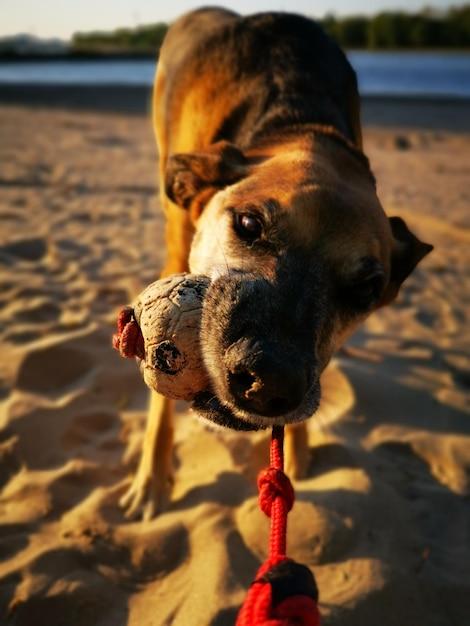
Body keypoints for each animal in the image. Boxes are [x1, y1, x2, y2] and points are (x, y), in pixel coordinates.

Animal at [119, 8, 432, 516]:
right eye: (248, 224)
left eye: (366, 289)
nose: (269, 385)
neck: (299, 124)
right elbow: (159, 404)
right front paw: (151, 479)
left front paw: (298, 450)